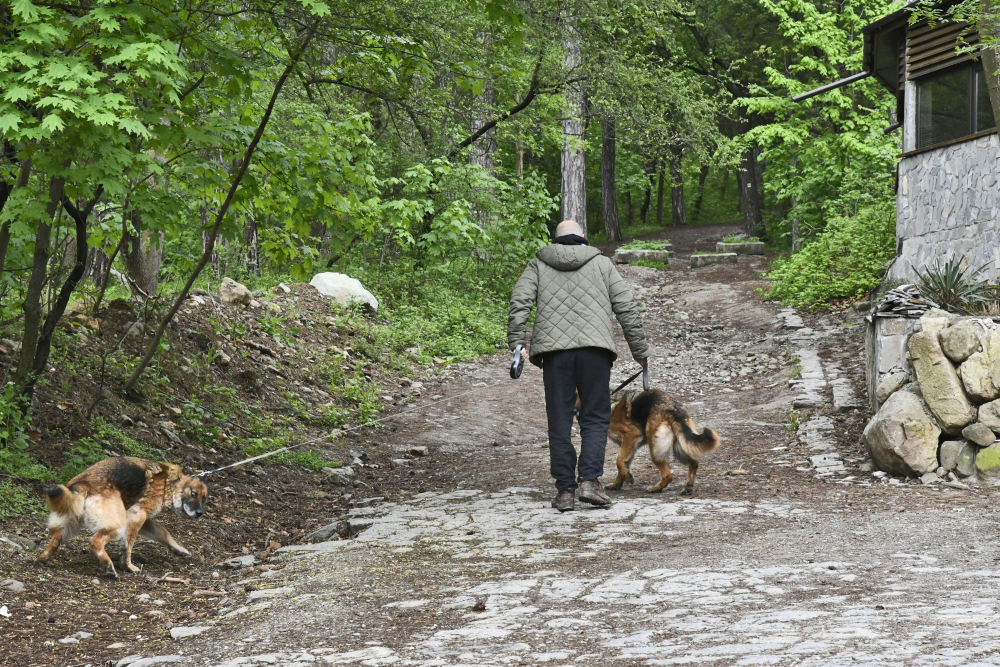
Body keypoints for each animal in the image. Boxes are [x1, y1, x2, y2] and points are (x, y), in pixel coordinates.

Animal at [39, 456, 209, 576]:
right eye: (194, 493)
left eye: (204, 498)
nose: (199, 513)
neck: (170, 481)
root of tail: (84, 483)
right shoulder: (137, 515)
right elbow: (128, 546)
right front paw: (128, 566)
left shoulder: (144, 520)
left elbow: (163, 532)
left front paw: (178, 549)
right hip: (118, 525)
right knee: (95, 541)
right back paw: (108, 565)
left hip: (68, 525)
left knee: (55, 540)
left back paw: (43, 558)